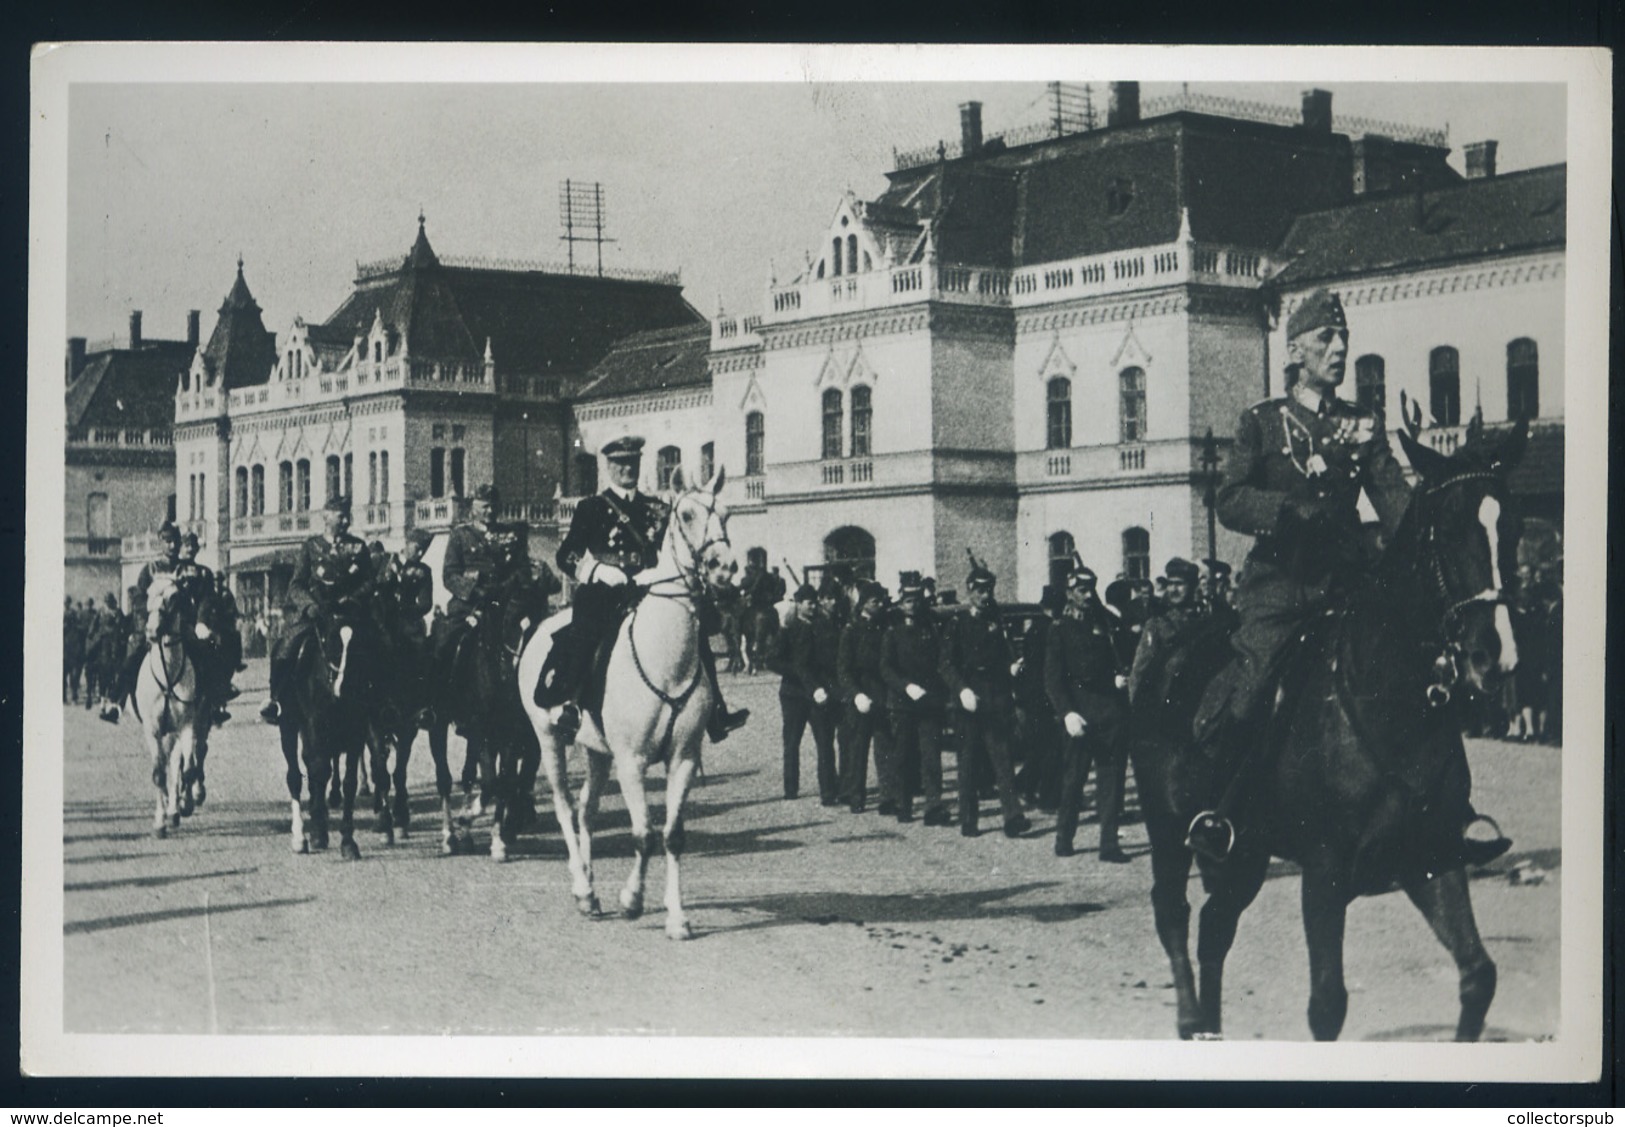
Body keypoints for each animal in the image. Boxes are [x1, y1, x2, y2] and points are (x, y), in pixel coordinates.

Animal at [130, 581, 203, 837]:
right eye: (148, 593)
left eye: (174, 597)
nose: (152, 631)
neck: (167, 674)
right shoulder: (153, 730)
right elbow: (158, 774)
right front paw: (159, 823)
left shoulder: (186, 725)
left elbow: (187, 768)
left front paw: (185, 804)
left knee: (178, 763)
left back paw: (177, 808)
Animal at [516, 464, 741, 941]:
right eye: (687, 515)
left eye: (727, 513)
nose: (724, 568)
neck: (665, 658)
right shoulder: (632, 761)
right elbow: (643, 834)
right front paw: (632, 899)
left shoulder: (683, 758)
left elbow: (672, 835)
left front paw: (676, 917)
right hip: (549, 739)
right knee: (565, 807)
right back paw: (583, 888)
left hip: (597, 751)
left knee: (586, 812)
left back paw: (591, 890)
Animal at [1131, 404, 1521, 1039]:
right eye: (1446, 528)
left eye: (1511, 526)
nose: (1496, 657)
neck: (1390, 701)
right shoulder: (1324, 873)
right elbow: (1327, 1005)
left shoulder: (1431, 860)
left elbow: (1479, 977)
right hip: (1168, 829)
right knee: (1173, 913)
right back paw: (1191, 1018)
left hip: (1246, 853)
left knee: (1214, 927)